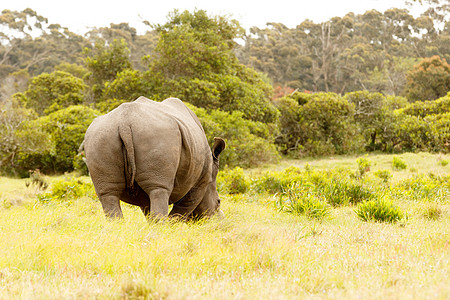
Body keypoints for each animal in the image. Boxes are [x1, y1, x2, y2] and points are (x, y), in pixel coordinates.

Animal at [82, 96, 225, 220]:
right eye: (218, 202)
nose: (220, 221)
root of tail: (124, 123)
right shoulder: (201, 181)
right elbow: (183, 208)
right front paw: (171, 227)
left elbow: (147, 208)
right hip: (157, 135)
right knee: (159, 190)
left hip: (99, 137)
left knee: (108, 193)